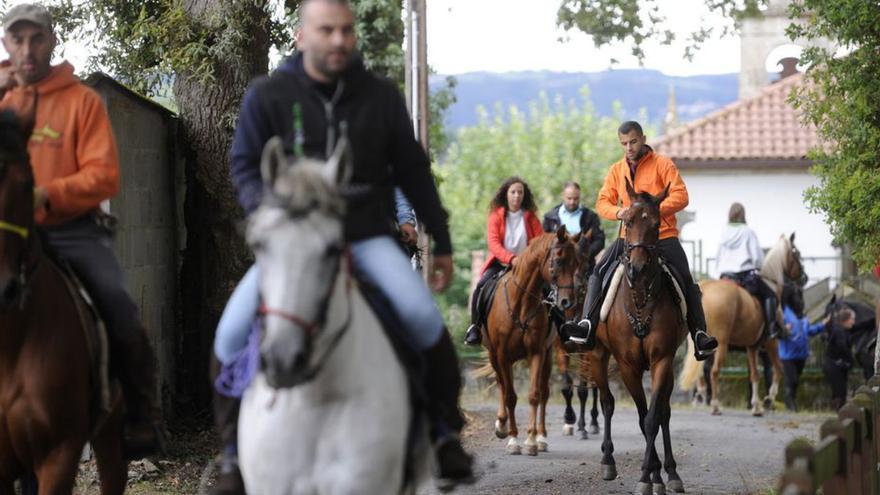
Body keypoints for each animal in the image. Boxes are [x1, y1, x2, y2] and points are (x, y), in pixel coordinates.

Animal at [484, 229, 580, 458]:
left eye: (576, 262)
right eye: (559, 260)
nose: (567, 302)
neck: (521, 303)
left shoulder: (537, 353)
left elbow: (535, 394)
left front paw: (531, 440)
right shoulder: (502, 355)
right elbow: (510, 395)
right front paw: (512, 440)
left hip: (548, 355)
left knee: (544, 392)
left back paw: (542, 437)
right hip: (494, 355)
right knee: (502, 385)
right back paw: (502, 425)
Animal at [592, 182, 688, 495]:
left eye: (657, 224)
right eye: (629, 221)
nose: (637, 268)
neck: (641, 298)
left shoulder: (662, 360)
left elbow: (652, 419)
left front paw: (652, 475)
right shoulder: (628, 366)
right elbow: (640, 415)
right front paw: (649, 475)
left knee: (664, 412)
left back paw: (669, 473)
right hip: (597, 355)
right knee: (607, 402)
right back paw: (608, 461)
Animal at [676, 234, 808, 416]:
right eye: (797, 253)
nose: (804, 277)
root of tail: (705, 289)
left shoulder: (752, 347)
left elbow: (754, 375)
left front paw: (756, 406)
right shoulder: (771, 342)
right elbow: (778, 369)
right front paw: (768, 399)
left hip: (698, 344)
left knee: (701, 373)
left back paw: (702, 397)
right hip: (722, 344)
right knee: (714, 372)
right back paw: (715, 405)